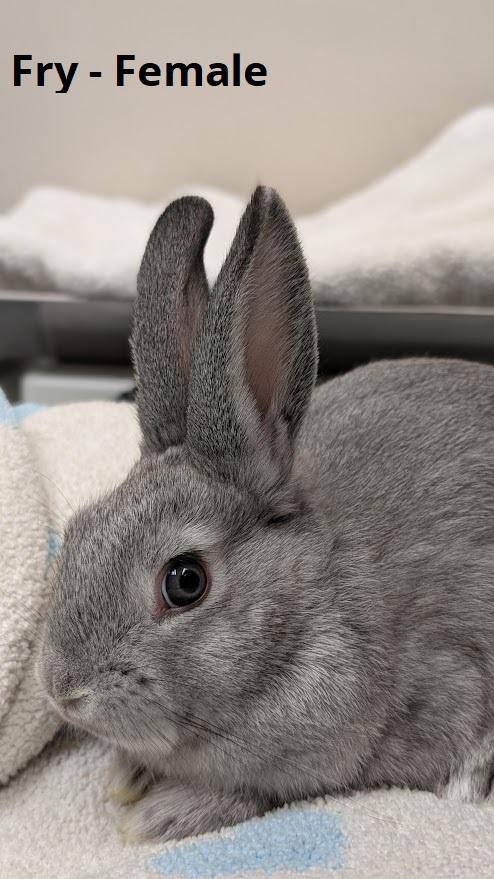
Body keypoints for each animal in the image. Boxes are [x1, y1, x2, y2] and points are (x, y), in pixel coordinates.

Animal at [40, 185, 494, 843]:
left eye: (185, 582)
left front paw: (161, 814)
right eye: (76, 532)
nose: (62, 691)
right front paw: (127, 776)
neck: (307, 604)